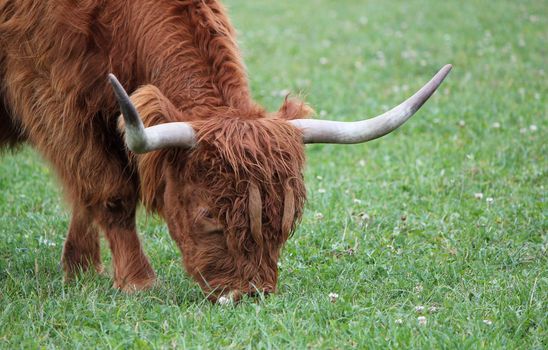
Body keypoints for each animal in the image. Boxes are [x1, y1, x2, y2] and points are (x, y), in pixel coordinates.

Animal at [0, 0, 450, 302]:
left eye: (287, 222)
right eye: (208, 216)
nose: (250, 294)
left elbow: (83, 191)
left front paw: (79, 268)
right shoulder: (54, 100)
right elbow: (108, 191)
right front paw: (137, 280)